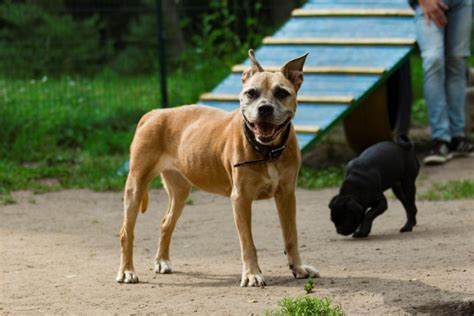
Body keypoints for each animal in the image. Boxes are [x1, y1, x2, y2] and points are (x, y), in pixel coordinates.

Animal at [116, 49, 320, 286]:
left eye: (281, 93)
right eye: (251, 93)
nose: (265, 108)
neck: (266, 151)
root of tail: (154, 113)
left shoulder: (287, 195)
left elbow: (291, 236)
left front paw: (298, 267)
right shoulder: (241, 199)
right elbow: (248, 243)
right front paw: (252, 273)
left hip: (180, 191)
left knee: (166, 223)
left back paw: (162, 261)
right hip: (135, 186)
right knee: (126, 232)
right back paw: (127, 271)